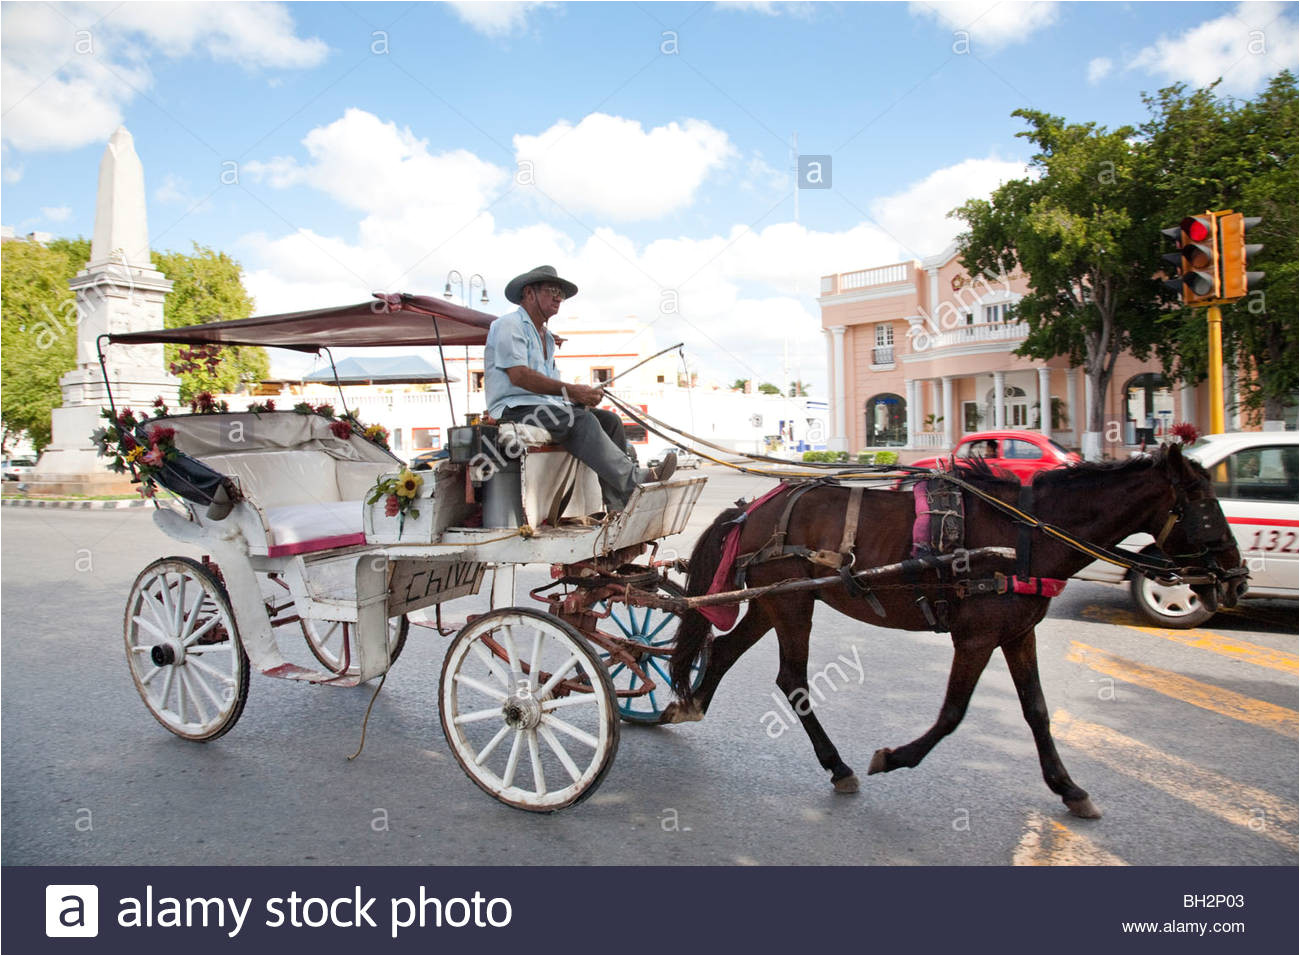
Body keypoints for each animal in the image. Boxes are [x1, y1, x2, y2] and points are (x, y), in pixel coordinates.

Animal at [665, 444, 1242, 816]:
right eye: (1207, 508)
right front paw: (894, 758)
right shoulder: (977, 637)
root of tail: (750, 510)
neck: (1025, 536)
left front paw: (1068, 788)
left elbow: (1037, 712)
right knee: (793, 680)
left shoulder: (1018, 634)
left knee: (723, 651)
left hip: (776, 601)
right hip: (789, 603)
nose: (1237, 579)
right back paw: (838, 765)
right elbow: (952, 714)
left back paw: (687, 705)